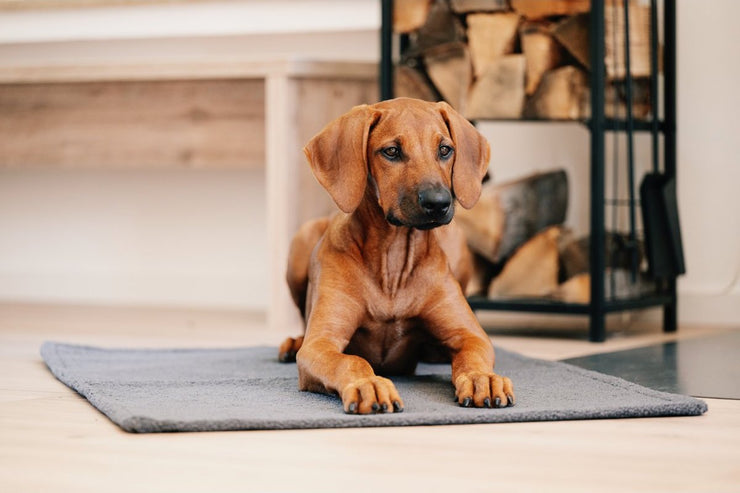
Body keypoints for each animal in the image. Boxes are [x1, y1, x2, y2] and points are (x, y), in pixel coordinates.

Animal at [278, 96, 516, 412]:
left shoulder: (471, 336)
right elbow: (351, 361)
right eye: (391, 151)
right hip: (300, 243)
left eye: (445, 149)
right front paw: (369, 384)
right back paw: (294, 342)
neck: (393, 260)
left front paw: (482, 378)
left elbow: (472, 354)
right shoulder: (321, 343)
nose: (438, 203)